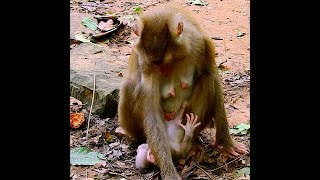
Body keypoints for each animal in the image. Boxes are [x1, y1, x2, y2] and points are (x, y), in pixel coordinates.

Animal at [119, 3, 246, 179]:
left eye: (165, 61)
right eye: (156, 64)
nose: (163, 71)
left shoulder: (200, 43)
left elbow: (213, 76)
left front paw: (225, 141)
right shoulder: (145, 63)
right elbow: (151, 107)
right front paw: (169, 171)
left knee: (208, 80)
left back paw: (191, 142)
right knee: (130, 86)